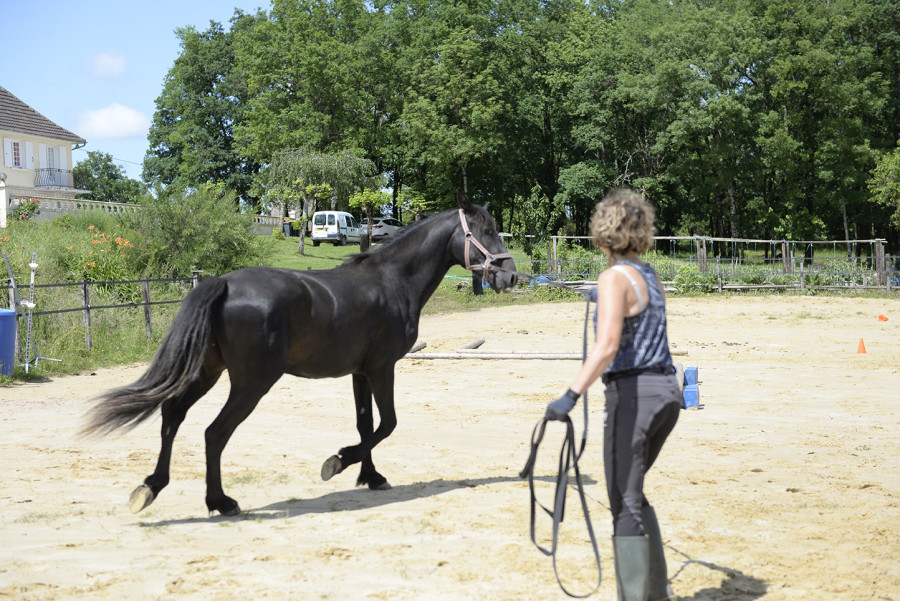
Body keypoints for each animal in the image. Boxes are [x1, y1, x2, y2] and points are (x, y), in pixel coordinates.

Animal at [81, 191, 517, 517]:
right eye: (486, 230)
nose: (510, 275)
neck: (392, 281)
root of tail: (224, 284)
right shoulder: (382, 369)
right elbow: (387, 424)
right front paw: (337, 462)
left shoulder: (360, 373)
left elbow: (366, 425)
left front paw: (370, 476)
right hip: (251, 382)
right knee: (214, 432)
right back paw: (220, 502)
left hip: (208, 371)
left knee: (172, 415)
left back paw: (151, 488)